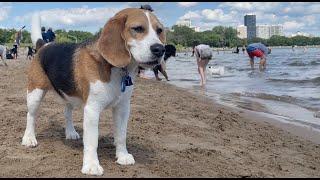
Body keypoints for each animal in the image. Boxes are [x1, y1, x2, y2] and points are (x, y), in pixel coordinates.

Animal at [22, 8, 166, 176]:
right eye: (138, 28)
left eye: (159, 30)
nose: (160, 49)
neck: (115, 69)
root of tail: (44, 45)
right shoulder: (92, 109)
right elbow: (92, 141)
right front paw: (91, 165)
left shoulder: (123, 108)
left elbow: (121, 135)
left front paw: (122, 156)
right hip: (35, 93)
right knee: (31, 116)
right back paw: (29, 138)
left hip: (69, 95)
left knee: (67, 112)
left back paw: (70, 132)